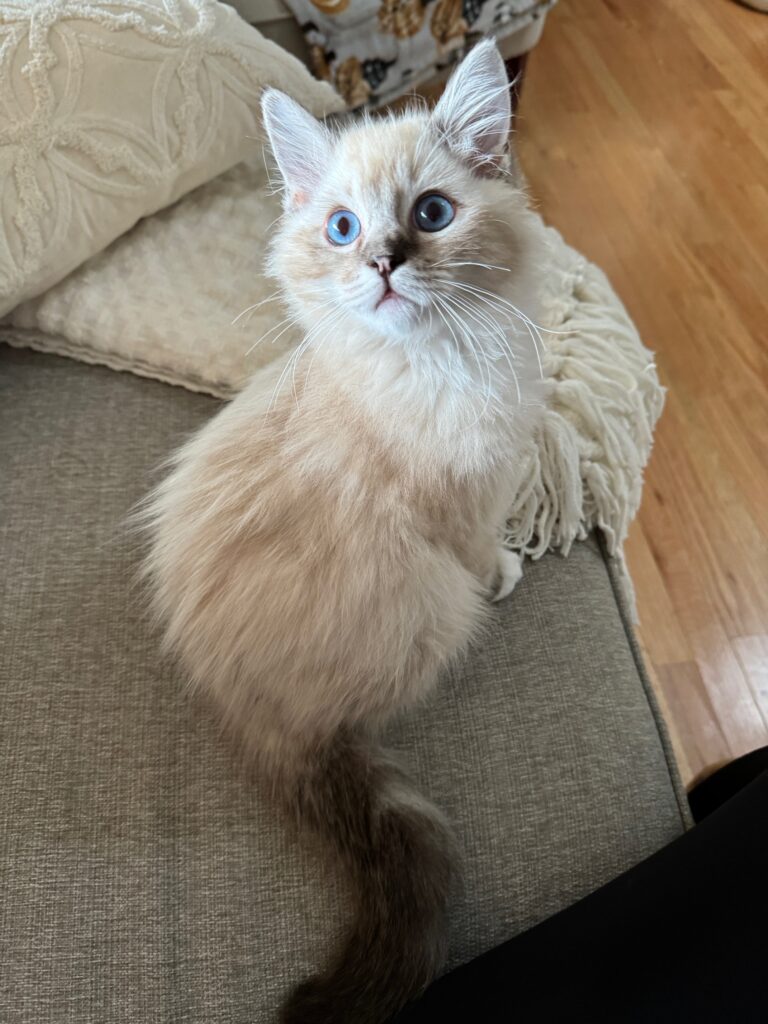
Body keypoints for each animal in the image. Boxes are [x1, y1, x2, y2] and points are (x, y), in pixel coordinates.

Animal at [144, 39, 548, 1024]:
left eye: (431, 214)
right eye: (340, 229)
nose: (381, 264)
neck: (441, 362)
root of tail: (248, 712)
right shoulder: (458, 505)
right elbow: (483, 549)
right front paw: (508, 568)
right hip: (433, 610)